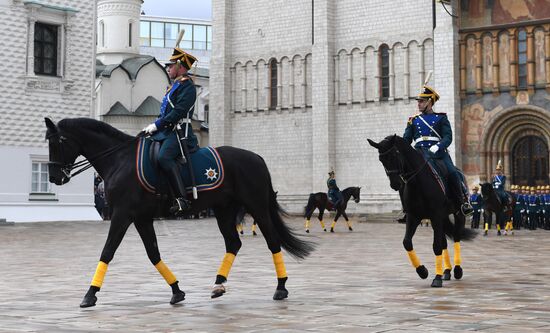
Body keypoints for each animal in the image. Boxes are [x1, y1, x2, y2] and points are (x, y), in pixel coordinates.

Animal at [43, 118, 314, 308]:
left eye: (56, 143)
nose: (55, 177)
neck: (120, 159)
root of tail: (256, 156)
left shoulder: (122, 215)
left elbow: (107, 251)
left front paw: (90, 294)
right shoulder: (141, 218)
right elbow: (153, 254)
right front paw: (177, 291)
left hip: (256, 207)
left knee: (272, 241)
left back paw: (281, 287)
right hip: (224, 210)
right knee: (233, 243)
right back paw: (218, 285)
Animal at [368, 134, 476, 286]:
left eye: (395, 154)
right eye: (381, 159)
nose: (395, 184)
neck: (418, 183)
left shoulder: (435, 215)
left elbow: (436, 246)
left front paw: (437, 278)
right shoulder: (414, 216)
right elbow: (407, 242)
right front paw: (422, 271)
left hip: (458, 213)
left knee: (456, 237)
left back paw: (457, 270)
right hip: (442, 218)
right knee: (444, 241)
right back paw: (447, 271)